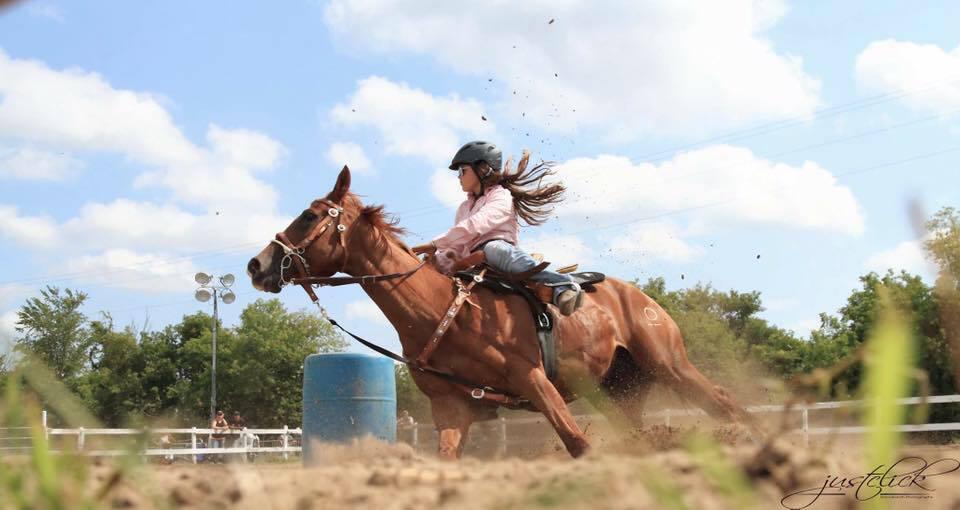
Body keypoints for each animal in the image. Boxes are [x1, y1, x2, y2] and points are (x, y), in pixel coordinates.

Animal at [247, 166, 757, 459]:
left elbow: (579, 445)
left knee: (724, 402)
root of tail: (642, 299)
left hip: (668, 364)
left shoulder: (533, 380)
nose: (257, 265)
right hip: (620, 389)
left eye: (312, 215)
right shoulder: (450, 409)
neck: (442, 312)